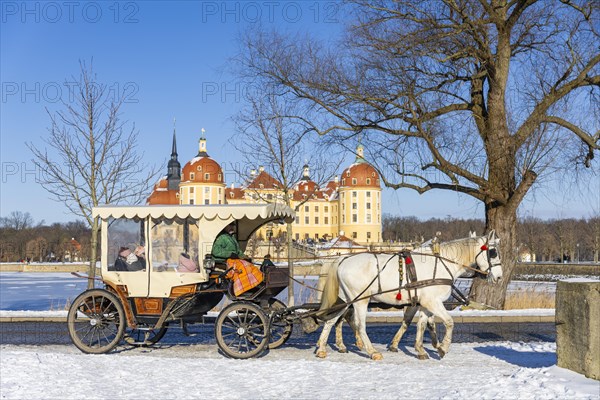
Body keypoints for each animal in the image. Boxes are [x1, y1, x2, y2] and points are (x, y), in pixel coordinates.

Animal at [314, 231, 502, 360]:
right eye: (493, 252)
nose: (499, 277)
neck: (442, 264)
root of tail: (342, 259)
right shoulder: (432, 302)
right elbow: (449, 322)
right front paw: (443, 347)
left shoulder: (425, 304)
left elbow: (421, 324)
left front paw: (421, 349)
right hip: (361, 300)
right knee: (359, 325)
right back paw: (372, 351)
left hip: (346, 299)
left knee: (331, 320)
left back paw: (322, 348)